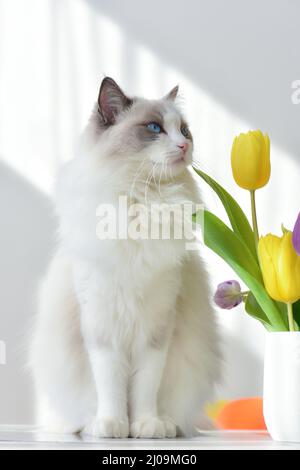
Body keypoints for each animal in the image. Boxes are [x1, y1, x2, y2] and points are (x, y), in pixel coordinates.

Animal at [29, 76, 221, 436]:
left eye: (184, 130)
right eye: (154, 128)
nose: (184, 146)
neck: (143, 203)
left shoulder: (156, 329)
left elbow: (145, 388)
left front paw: (146, 426)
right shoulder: (102, 327)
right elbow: (111, 387)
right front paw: (111, 426)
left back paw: (167, 425)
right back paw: (85, 426)